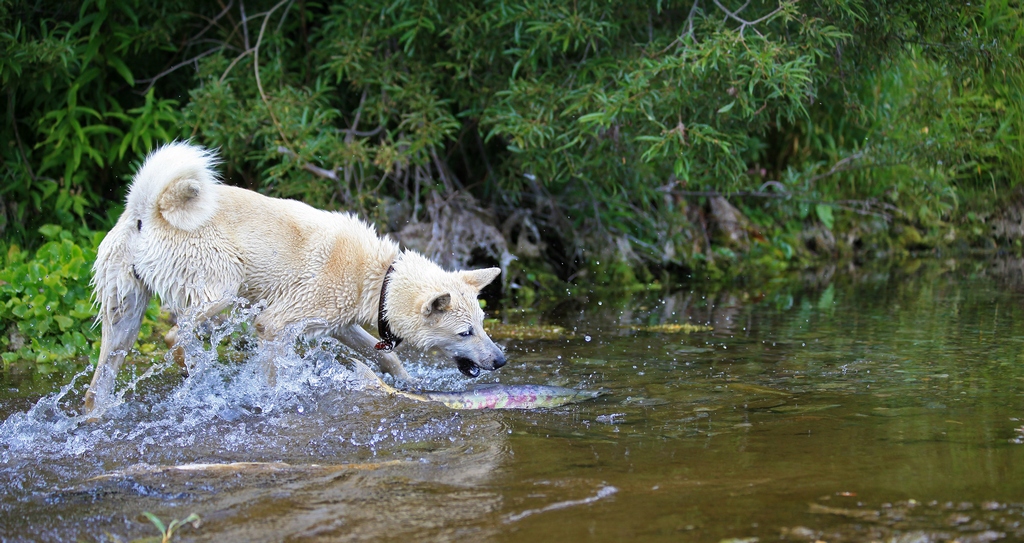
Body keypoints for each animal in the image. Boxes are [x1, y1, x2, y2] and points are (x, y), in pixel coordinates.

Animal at [83, 141, 507, 411]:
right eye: (465, 332)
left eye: (484, 324)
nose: (502, 360)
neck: (380, 277)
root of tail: (146, 210)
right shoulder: (276, 324)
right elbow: (273, 375)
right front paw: (272, 400)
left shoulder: (341, 324)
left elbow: (387, 357)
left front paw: (412, 386)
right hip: (222, 290)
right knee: (176, 335)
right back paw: (190, 366)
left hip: (123, 318)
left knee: (100, 381)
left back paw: (97, 413)